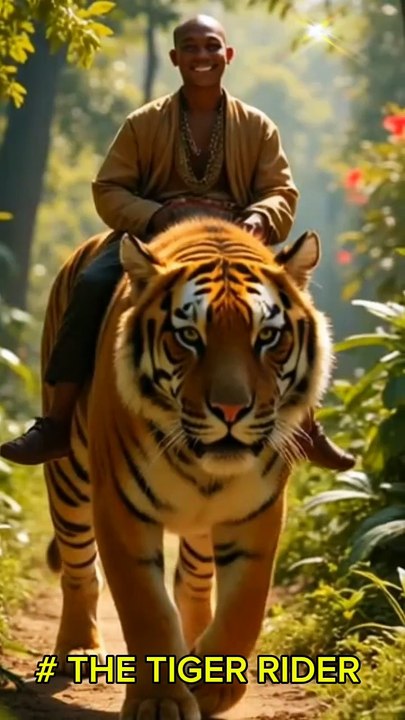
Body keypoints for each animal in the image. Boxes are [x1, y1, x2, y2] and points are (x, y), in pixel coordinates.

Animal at [41, 217, 333, 720]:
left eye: (267, 337)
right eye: (189, 337)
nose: (231, 410)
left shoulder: (257, 512)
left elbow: (244, 607)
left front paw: (214, 686)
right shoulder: (120, 509)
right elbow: (146, 610)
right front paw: (159, 700)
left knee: (193, 580)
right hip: (69, 480)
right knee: (80, 570)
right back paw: (79, 649)